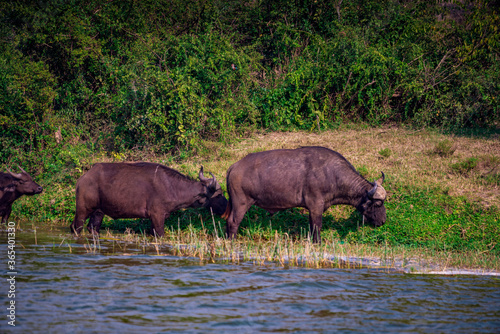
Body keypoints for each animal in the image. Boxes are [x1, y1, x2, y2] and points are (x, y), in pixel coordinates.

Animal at [70, 162, 227, 236]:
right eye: (219, 194)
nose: (227, 205)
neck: (172, 187)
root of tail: (83, 179)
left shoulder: (154, 219)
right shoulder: (157, 217)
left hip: (98, 212)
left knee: (92, 228)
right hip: (83, 210)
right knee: (76, 227)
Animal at [221, 146, 388, 243]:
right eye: (378, 203)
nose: (383, 221)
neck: (332, 174)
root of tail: (234, 167)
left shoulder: (312, 209)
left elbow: (311, 226)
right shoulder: (316, 206)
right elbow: (317, 226)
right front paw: (318, 243)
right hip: (241, 203)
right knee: (233, 221)